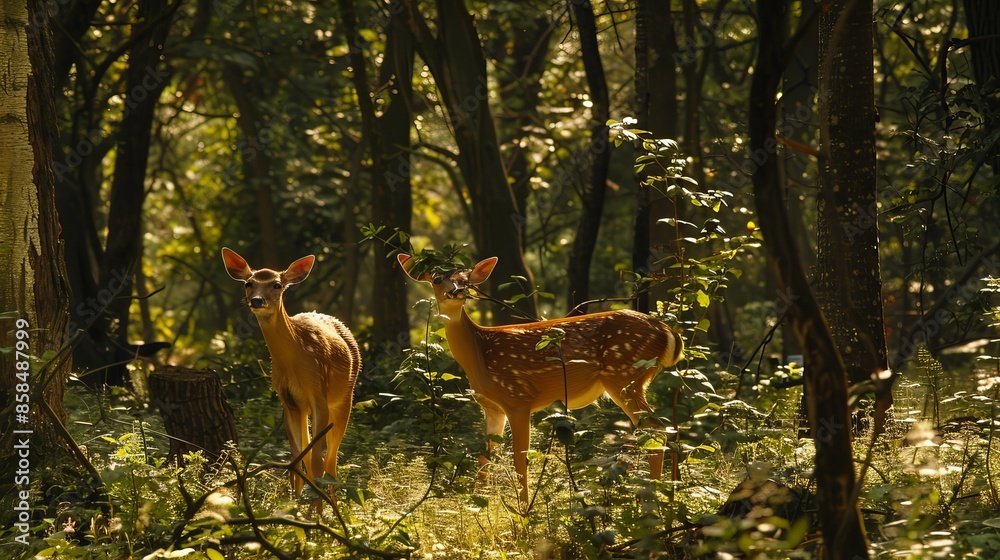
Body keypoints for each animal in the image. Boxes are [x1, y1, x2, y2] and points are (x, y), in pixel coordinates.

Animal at [221, 248, 361, 508]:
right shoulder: (287, 400)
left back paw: (332, 506)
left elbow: (316, 461)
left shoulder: (318, 393)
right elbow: (295, 460)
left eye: (277, 285)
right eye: (248, 283)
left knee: (331, 461)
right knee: (312, 456)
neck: (295, 362)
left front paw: (317, 515)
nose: (257, 300)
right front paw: (293, 507)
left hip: (344, 397)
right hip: (304, 407)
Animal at [398, 253, 684, 504]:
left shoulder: (518, 398)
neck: (479, 353)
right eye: (437, 279)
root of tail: (667, 331)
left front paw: (523, 512)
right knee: (665, 428)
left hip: (623, 375)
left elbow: (519, 459)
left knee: (656, 429)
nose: (457, 291)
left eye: (467, 280)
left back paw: (656, 499)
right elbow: (485, 458)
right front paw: (477, 505)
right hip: (631, 378)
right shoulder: (492, 408)